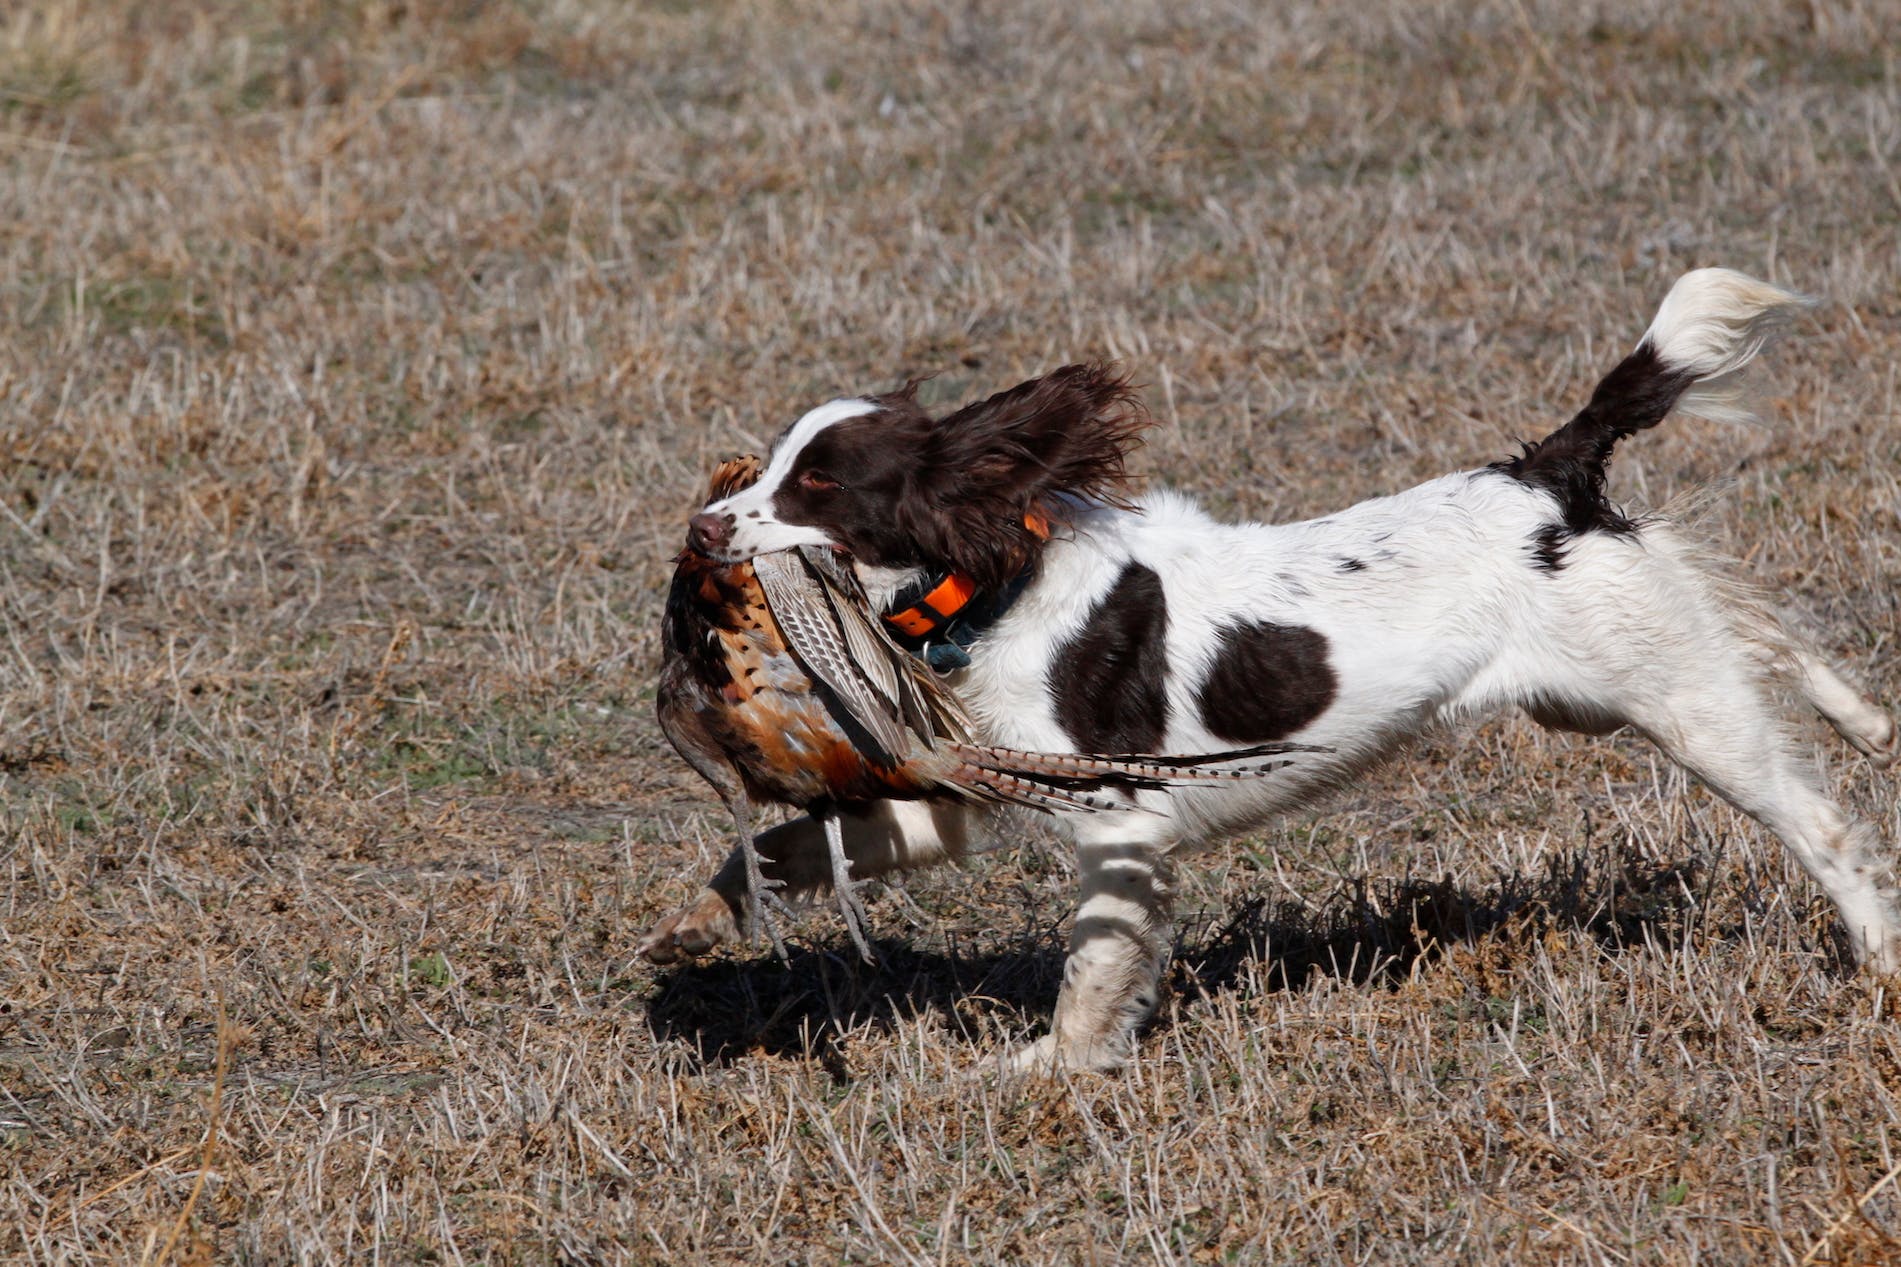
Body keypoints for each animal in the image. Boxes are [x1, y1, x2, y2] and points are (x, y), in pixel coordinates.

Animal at [642, 272, 1901, 1072]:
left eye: (818, 485)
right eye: (770, 467)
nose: (699, 527)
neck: (995, 586)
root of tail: (1543, 471)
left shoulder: (1116, 822)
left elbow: (1091, 965)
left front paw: (1051, 1069)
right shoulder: (971, 789)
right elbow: (792, 844)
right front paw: (697, 926)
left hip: (1672, 702)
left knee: (1820, 824)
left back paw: (1877, 955)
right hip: (1600, 689)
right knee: (1757, 627)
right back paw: (1870, 719)